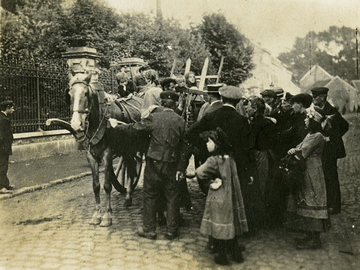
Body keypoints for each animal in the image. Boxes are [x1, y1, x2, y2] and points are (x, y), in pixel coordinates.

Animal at [65, 73, 144, 227]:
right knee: (130, 167)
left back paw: (128, 196)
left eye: (86, 93)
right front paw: (96, 214)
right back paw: (128, 195)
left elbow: (107, 185)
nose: (76, 124)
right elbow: (96, 185)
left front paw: (107, 216)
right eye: (70, 94)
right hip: (127, 149)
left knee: (133, 169)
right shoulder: (90, 155)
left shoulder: (108, 153)